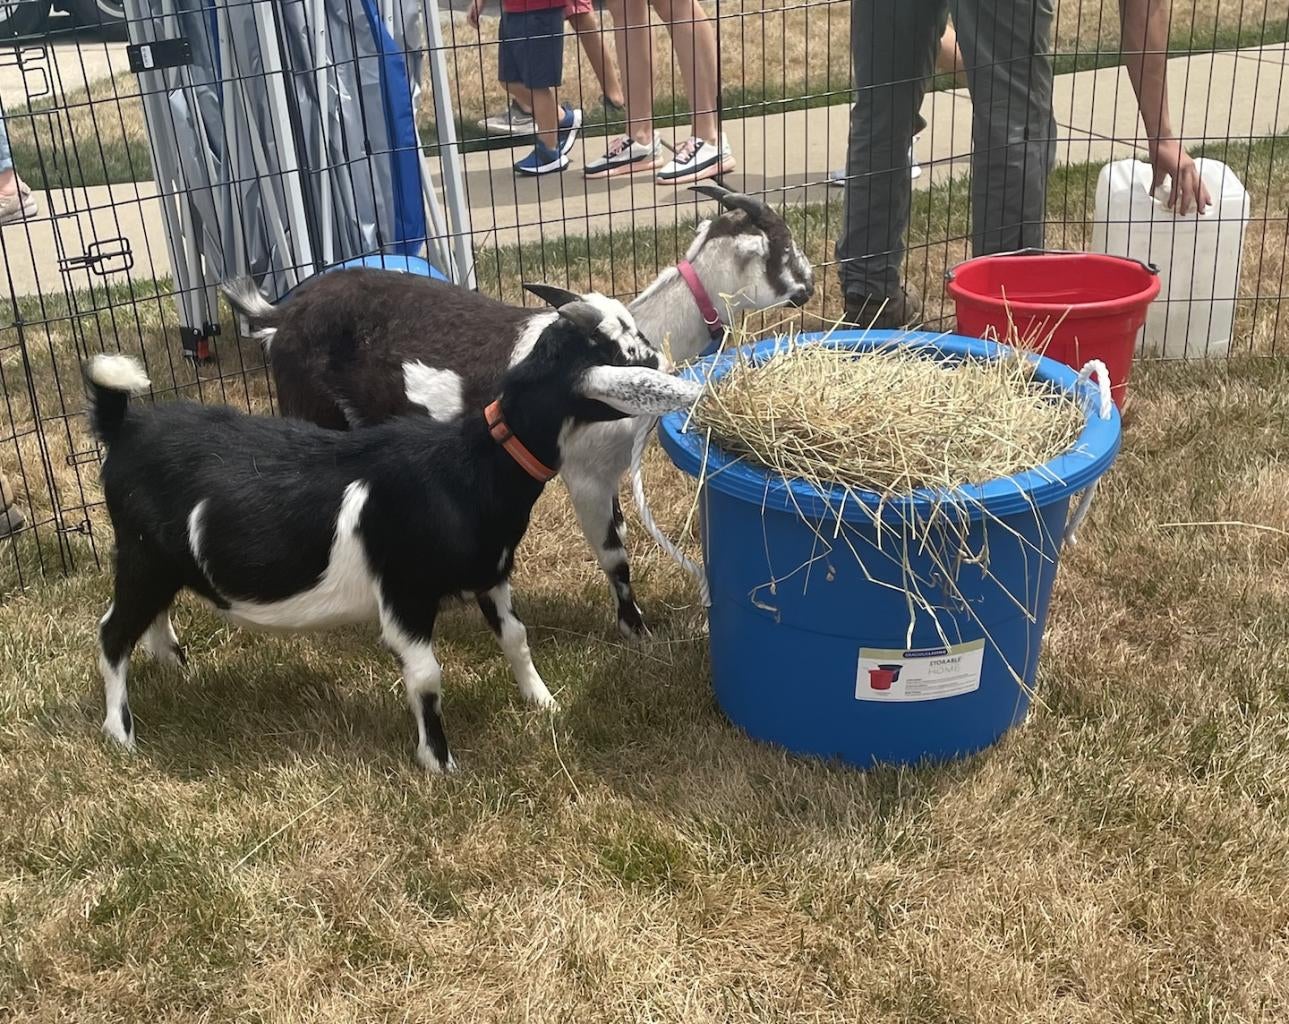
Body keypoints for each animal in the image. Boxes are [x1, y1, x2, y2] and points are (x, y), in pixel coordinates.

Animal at [85, 295, 701, 763]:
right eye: (619, 350)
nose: (663, 360)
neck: (468, 467)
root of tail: (124, 427)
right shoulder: (404, 594)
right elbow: (426, 675)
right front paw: (440, 762)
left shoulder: (491, 574)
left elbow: (516, 638)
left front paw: (542, 702)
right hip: (139, 557)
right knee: (112, 632)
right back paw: (120, 732)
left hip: (159, 563)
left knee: (148, 618)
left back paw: (174, 665)